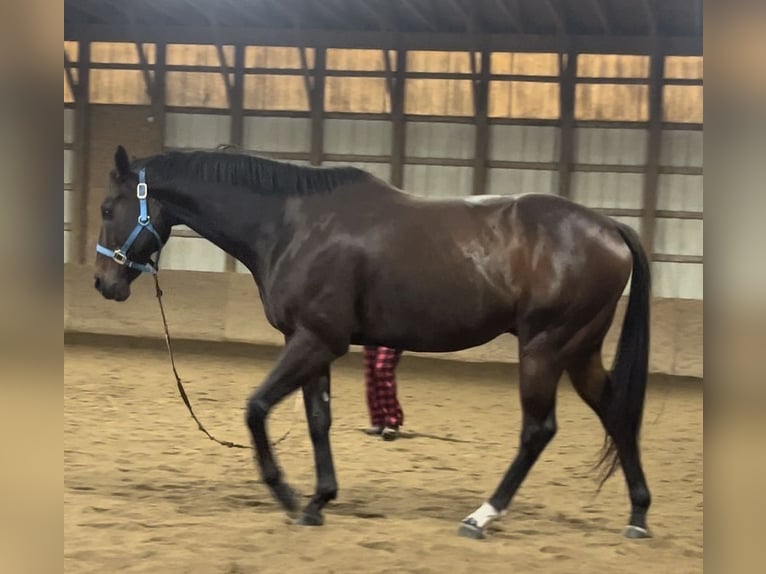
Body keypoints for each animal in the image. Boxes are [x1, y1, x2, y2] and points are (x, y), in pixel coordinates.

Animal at [93, 145, 652, 540]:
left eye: (105, 207)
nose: (104, 283)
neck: (292, 225)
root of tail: (609, 227)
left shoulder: (315, 340)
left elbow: (256, 408)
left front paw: (287, 495)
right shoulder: (311, 343)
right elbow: (318, 420)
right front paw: (318, 501)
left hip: (544, 349)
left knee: (538, 430)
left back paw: (482, 516)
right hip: (579, 351)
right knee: (616, 413)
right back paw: (639, 514)